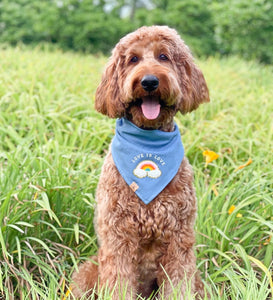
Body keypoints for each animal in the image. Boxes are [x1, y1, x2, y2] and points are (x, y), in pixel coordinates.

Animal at [71, 26, 209, 300]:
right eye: (133, 59)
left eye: (164, 56)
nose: (149, 81)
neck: (148, 140)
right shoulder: (118, 237)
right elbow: (118, 283)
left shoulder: (180, 238)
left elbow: (178, 283)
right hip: (89, 271)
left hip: (197, 279)